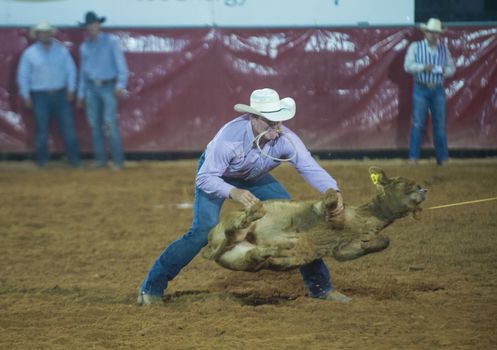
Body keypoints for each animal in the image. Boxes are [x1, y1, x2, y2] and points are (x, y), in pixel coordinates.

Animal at [202, 168, 426, 272]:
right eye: (400, 181)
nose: (422, 188)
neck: (360, 219)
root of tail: (211, 246)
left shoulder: (343, 249)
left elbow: (379, 242)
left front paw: (372, 243)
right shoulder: (320, 209)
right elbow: (329, 199)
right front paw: (330, 199)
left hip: (240, 257)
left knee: (254, 253)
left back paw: (279, 252)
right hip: (232, 228)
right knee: (236, 227)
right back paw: (255, 213)